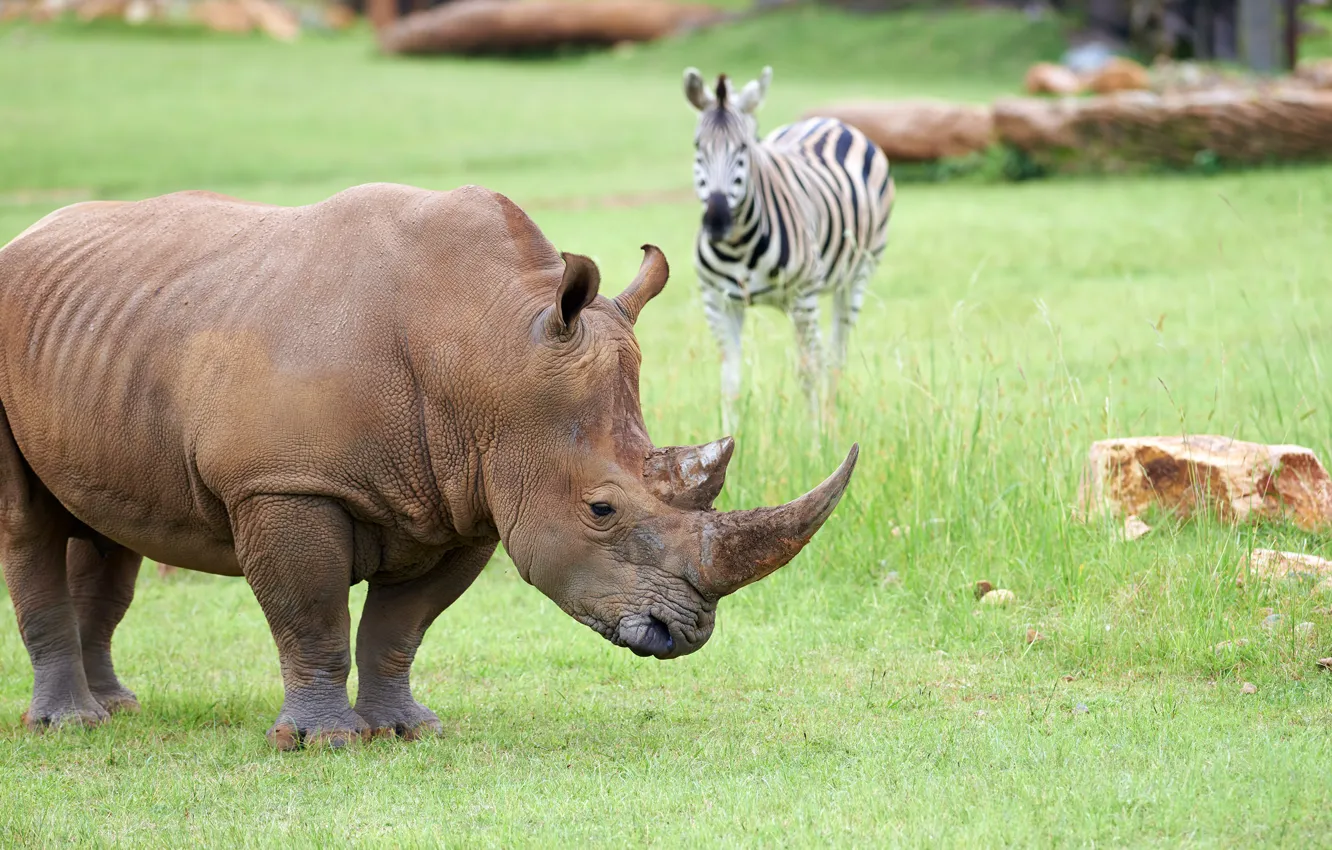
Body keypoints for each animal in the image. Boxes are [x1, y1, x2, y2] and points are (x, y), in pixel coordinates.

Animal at [0, 183, 858, 749]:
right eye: (602, 510)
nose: (683, 633)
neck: (486, 344)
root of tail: (28, 239)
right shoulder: (285, 485)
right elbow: (310, 615)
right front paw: (322, 743)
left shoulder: (468, 496)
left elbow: (399, 626)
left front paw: (406, 730)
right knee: (29, 525)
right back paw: (69, 727)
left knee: (108, 532)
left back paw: (118, 709)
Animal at [683, 65, 895, 433]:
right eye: (699, 146)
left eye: (744, 147)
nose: (717, 222)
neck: (738, 246)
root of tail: (829, 120)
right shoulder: (717, 301)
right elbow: (729, 380)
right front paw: (727, 439)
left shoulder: (802, 295)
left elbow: (808, 371)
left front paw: (815, 438)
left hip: (855, 277)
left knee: (835, 354)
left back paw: (830, 419)